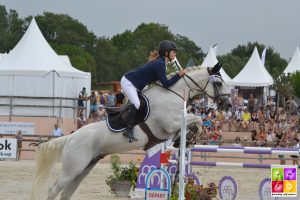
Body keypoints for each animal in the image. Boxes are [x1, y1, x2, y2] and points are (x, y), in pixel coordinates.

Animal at [30, 63, 229, 199]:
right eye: (219, 83)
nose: (227, 104)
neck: (173, 94)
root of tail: (70, 138)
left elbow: (195, 121)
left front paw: (186, 138)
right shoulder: (168, 123)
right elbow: (197, 119)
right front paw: (189, 136)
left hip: (83, 168)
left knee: (66, 193)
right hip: (73, 168)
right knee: (53, 190)